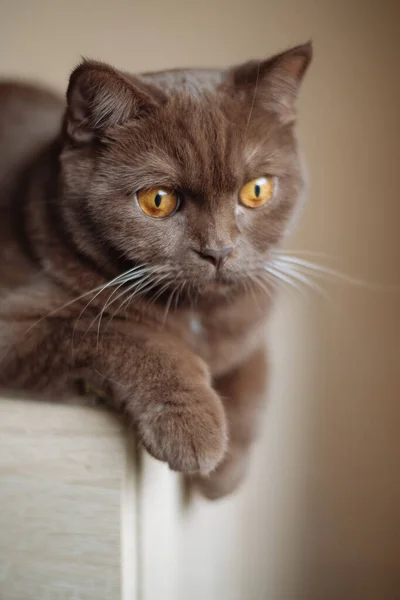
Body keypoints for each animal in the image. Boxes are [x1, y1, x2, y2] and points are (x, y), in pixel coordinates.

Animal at [0, 44, 312, 500]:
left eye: (257, 190)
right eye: (158, 200)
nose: (219, 250)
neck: (197, 316)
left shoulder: (251, 325)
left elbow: (255, 379)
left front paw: (226, 472)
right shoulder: (16, 325)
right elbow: (124, 335)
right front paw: (195, 429)